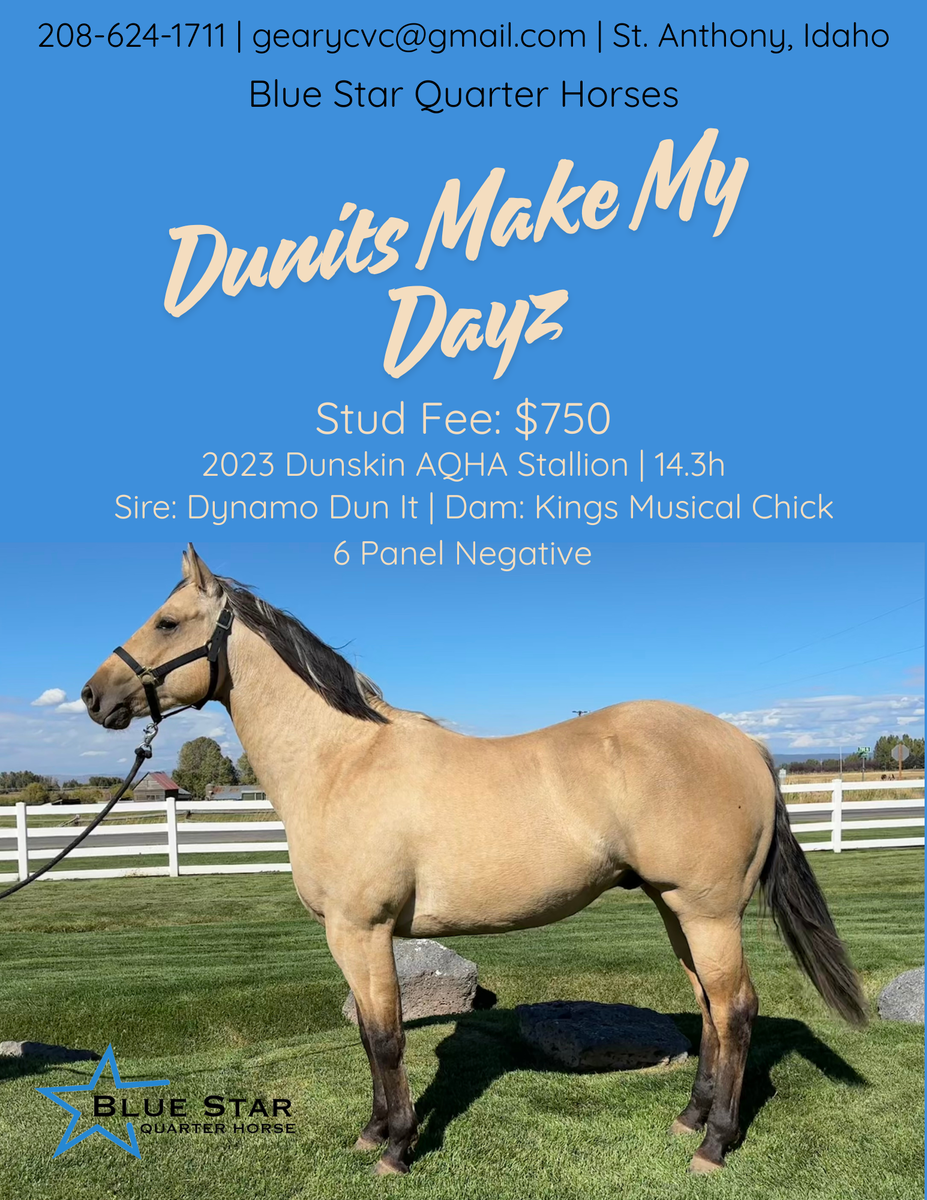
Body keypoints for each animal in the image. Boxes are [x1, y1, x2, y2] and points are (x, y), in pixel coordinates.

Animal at [82, 545, 866, 1176]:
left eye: (167, 622)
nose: (93, 696)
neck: (340, 762)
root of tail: (752, 746)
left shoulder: (360, 930)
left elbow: (385, 1038)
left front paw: (397, 1148)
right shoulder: (349, 936)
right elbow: (370, 1038)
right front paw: (373, 1133)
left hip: (707, 912)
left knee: (735, 1010)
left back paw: (714, 1144)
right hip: (676, 908)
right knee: (708, 1008)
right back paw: (690, 1119)